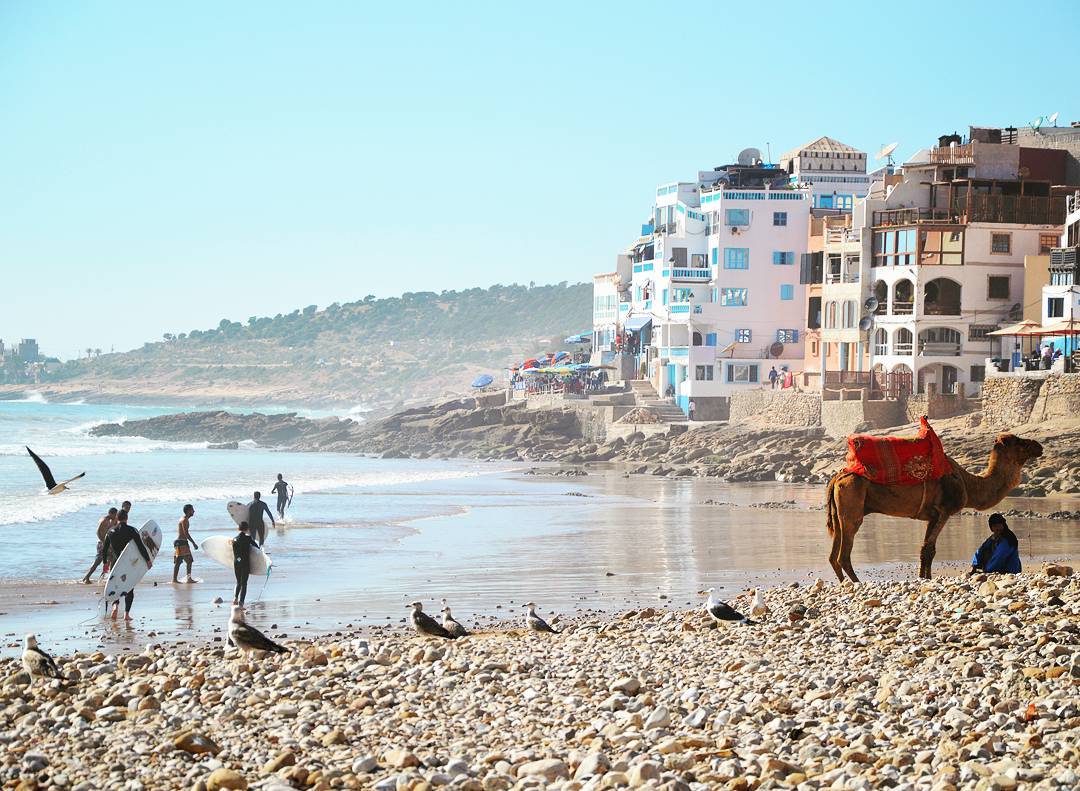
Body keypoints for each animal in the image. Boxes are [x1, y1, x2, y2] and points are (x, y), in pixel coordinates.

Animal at [820, 432, 1041, 579]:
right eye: (1019, 441)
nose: (1038, 445)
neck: (968, 484)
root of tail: (837, 477)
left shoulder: (932, 516)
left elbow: (925, 549)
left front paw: (923, 578)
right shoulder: (944, 512)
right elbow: (929, 549)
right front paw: (927, 578)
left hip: (839, 511)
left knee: (832, 555)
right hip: (851, 504)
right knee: (843, 554)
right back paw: (855, 583)